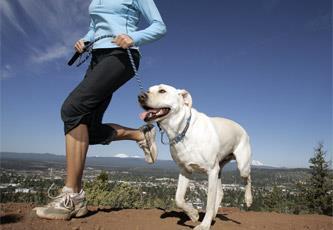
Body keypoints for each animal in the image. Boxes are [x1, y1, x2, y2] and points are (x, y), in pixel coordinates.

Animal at [138, 85, 252, 230]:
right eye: (148, 90)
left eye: (162, 91)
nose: (140, 96)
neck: (183, 131)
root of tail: (242, 128)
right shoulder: (185, 170)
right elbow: (178, 198)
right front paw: (193, 214)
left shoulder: (211, 171)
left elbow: (209, 203)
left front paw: (204, 225)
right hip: (219, 170)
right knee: (221, 192)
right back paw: (213, 216)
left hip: (241, 166)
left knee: (248, 178)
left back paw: (248, 200)